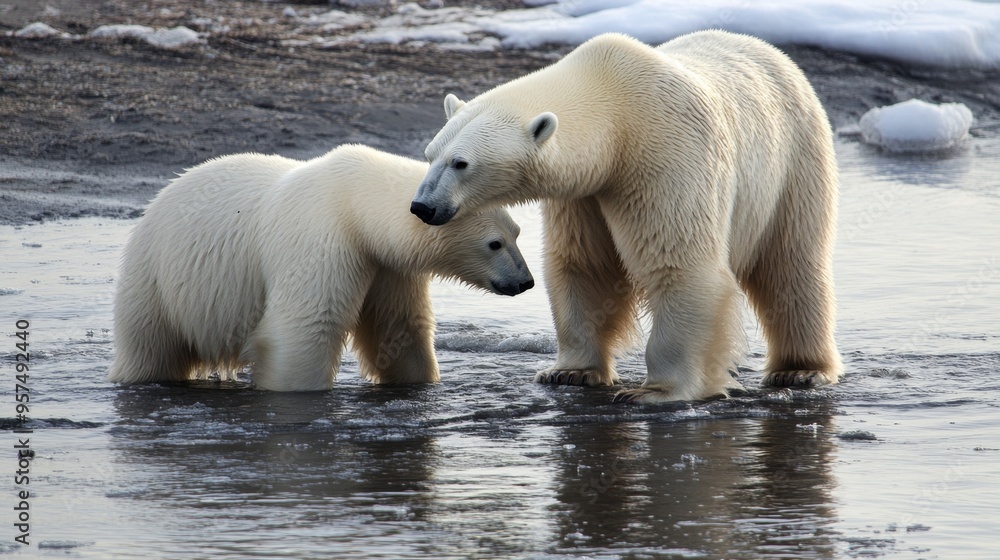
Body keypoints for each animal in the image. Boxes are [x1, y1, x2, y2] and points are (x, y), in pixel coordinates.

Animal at [108, 144, 534, 391]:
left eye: (517, 233)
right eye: (494, 243)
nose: (525, 281)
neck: (354, 204)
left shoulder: (386, 265)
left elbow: (399, 327)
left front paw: (420, 382)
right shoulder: (324, 241)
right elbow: (306, 326)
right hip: (157, 278)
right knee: (149, 347)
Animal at [409, 30, 842, 403]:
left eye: (461, 163)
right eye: (430, 154)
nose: (423, 207)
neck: (617, 108)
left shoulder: (667, 154)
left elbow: (678, 262)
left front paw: (657, 391)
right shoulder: (585, 193)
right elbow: (586, 264)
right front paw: (569, 371)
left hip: (794, 160)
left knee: (791, 263)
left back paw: (800, 370)